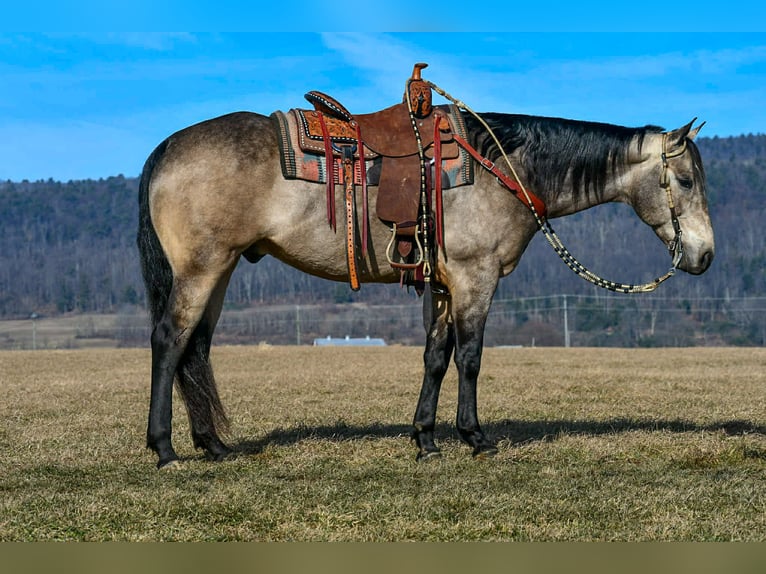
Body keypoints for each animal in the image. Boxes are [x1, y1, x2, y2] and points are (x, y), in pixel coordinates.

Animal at [137, 93, 714, 469]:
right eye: (685, 181)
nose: (705, 255)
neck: (504, 167)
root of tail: (167, 147)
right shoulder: (476, 277)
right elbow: (471, 356)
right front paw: (474, 436)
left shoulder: (440, 286)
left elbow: (436, 357)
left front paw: (426, 439)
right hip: (201, 268)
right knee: (169, 341)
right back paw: (165, 449)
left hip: (222, 269)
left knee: (196, 347)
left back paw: (212, 445)